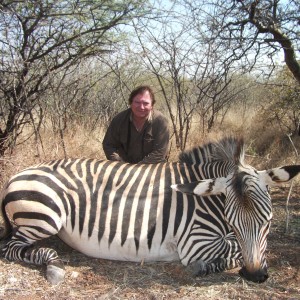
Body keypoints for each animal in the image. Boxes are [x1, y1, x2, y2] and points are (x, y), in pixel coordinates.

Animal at [0, 136, 298, 284]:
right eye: (233, 222)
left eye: (268, 222)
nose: (255, 276)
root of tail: (16, 175)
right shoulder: (195, 243)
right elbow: (234, 250)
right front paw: (206, 267)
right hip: (46, 216)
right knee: (10, 248)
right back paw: (54, 266)